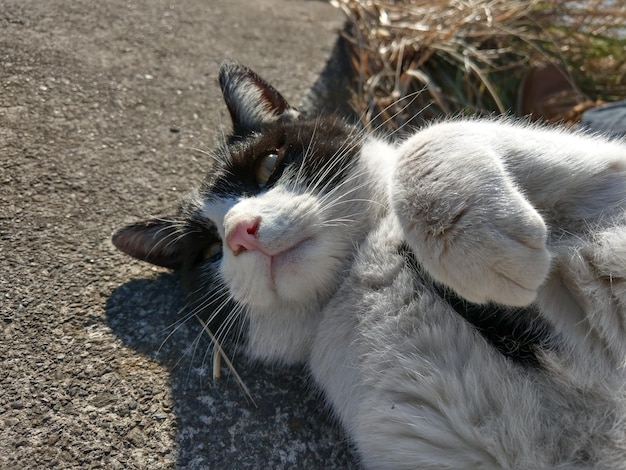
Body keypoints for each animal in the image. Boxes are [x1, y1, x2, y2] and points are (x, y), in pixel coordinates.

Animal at [113, 60, 626, 468]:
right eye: (208, 253)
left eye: (268, 164)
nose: (241, 231)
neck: (357, 270)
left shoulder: (602, 170)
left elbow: (427, 139)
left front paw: (490, 259)